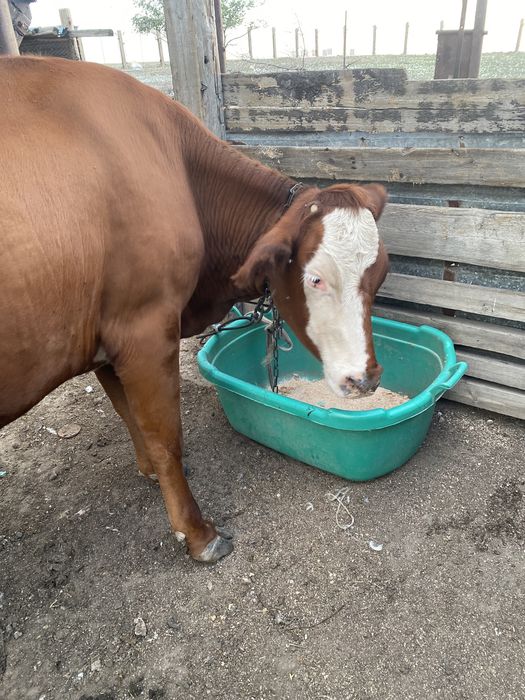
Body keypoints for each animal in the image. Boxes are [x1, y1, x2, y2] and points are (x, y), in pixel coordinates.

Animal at [0, 57, 389, 562]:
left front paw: (148, 472)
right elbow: (166, 437)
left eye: (381, 273)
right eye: (316, 278)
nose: (366, 378)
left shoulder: (105, 337)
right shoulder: (143, 328)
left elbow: (128, 413)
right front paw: (198, 533)